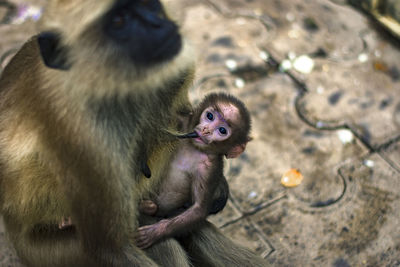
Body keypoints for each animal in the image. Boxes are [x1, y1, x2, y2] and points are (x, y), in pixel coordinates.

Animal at [136, 93, 252, 250]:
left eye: (222, 130)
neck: (193, 148)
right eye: (210, 116)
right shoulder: (182, 123)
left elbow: (198, 210)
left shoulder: (210, 169)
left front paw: (155, 232)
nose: (206, 130)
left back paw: (147, 208)